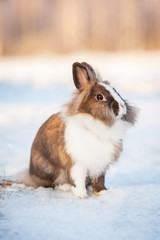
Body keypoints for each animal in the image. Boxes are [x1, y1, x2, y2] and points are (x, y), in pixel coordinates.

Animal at [20, 62, 138, 199]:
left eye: (116, 91)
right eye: (99, 96)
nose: (123, 106)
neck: (97, 124)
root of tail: (31, 173)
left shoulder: (100, 163)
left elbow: (100, 179)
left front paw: (102, 192)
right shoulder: (77, 163)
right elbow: (78, 178)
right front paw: (81, 195)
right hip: (48, 168)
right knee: (50, 184)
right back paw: (65, 187)